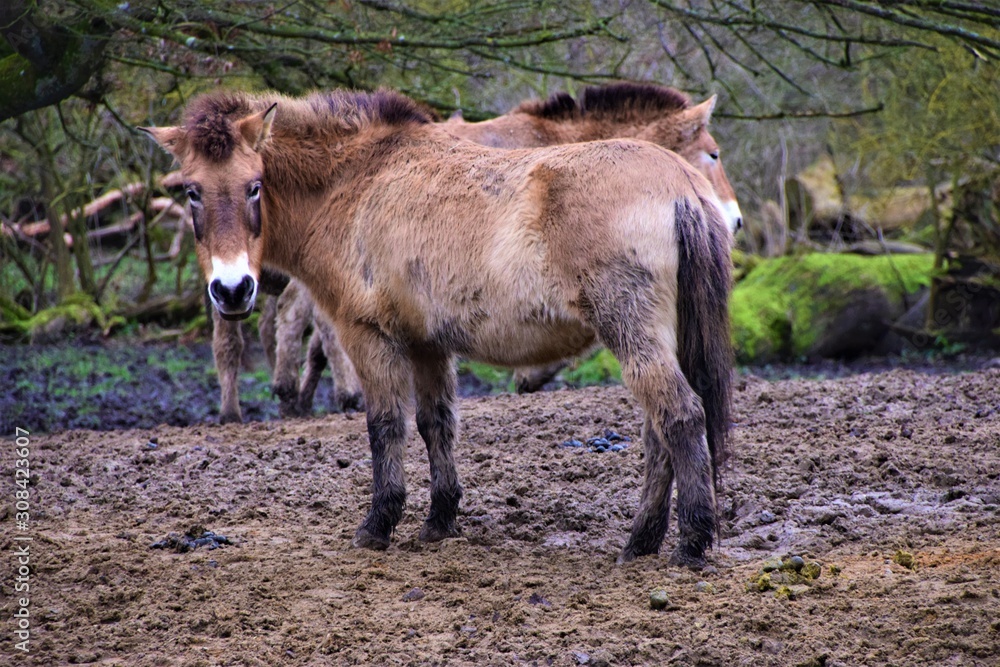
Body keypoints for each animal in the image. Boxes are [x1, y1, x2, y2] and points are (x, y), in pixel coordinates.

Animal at [241, 82, 741, 419]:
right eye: (714, 154)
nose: (734, 220)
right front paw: (531, 376)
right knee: (300, 318)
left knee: (293, 317)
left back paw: (296, 395)